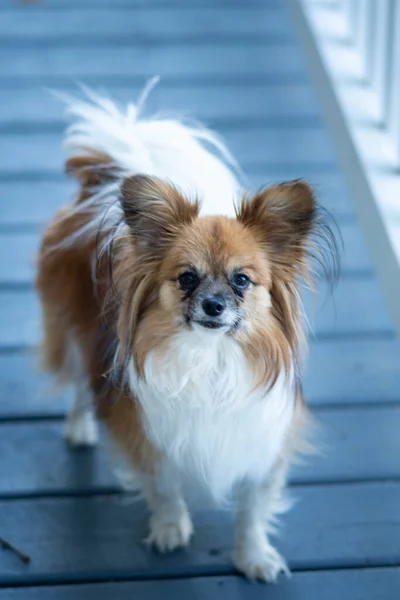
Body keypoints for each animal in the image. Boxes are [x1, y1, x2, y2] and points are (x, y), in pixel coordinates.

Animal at [36, 83, 338, 580]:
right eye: (187, 278)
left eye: (241, 280)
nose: (213, 305)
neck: (209, 358)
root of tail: (99, 183)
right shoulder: (149, 435)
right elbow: (165, 488)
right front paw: (171, 529)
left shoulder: (261, 444)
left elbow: (252, 508)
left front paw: (254, 556)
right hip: (73, 331)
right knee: (81, 383)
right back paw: (81, 427)